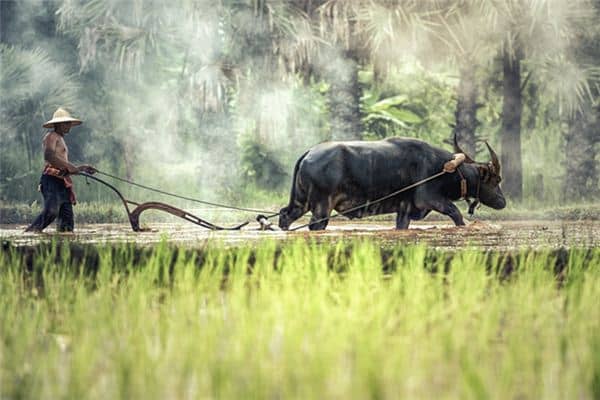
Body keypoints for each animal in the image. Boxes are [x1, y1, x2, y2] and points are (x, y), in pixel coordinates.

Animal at [278, 134, 504, 230]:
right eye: (495, 180)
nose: (503, 201)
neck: (444, 168)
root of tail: (309, 152)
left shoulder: (405, 209)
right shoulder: (431, 199)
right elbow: (456, 214)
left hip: (300, 202)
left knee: (285, 216)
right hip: (321, 207)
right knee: (315, 225)